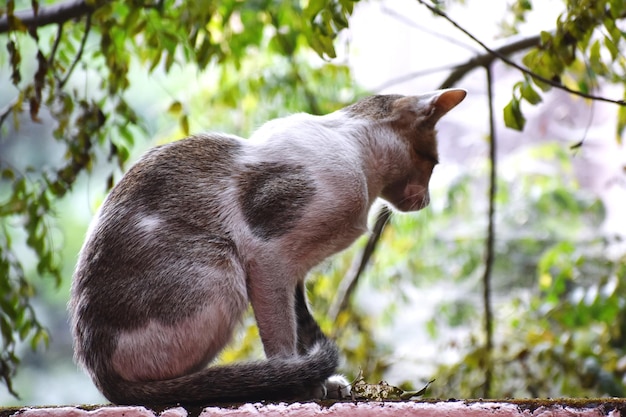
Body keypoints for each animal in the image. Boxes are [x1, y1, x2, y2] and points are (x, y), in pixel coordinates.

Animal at [69, 87, 464, 404]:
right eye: (433, 163)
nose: (426, 201)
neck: (358, 159)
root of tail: (97, 369)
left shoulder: (296, 273)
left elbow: (300, 326)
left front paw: (319, 382)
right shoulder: (269, 257)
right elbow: (282, 336)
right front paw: (299, 386)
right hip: (221, 270)